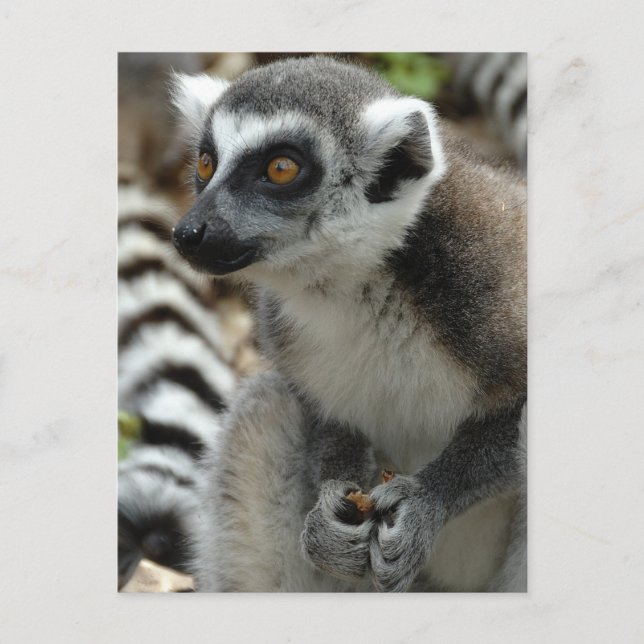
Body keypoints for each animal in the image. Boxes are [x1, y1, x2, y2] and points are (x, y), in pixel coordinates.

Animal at [170, 55, 527, 592]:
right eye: (206, 163)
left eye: (281, 168)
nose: (189, 232)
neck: (357, 283)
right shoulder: (284, 328)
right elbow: (323, 413)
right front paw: (330, 512)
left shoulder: (487, 282)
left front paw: (425, 502)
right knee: (267, 407)